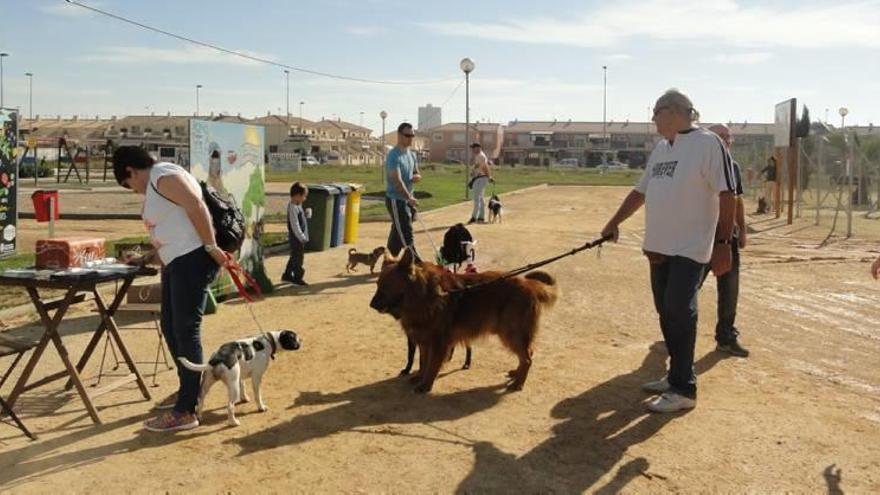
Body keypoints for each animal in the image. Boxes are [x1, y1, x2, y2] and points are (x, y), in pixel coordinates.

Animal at [372, 252, 556, 396]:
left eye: (386, 286)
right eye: (378, 284)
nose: (371, 305)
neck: (425, 295)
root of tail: (530, 284)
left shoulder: (438, 343)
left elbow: (431, 365)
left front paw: (425, 385)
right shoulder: (424, 341)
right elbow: (423, 362)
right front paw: (420, 377)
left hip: (511, 334)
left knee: (527, 359)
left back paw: (519, 383)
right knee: (528, 353)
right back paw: (516, 374)